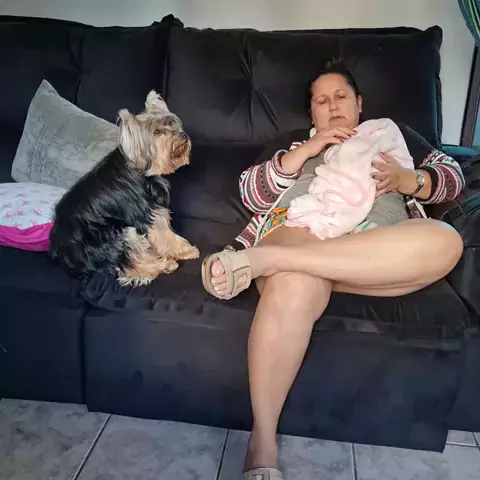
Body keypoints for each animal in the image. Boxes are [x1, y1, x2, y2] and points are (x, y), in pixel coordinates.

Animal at [49, 91, 199, 286]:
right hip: (115, 234)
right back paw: (164, 265)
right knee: (129, 267)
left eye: (172, 124)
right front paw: (186, 250)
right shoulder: (147, 211)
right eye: (157, 132)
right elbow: (165, 234)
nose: (182, 135)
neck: (142, 167)